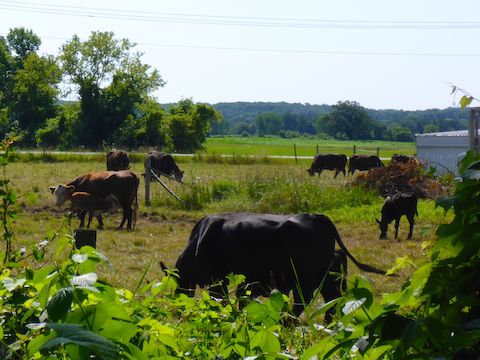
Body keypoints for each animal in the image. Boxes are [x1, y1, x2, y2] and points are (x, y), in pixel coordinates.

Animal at [172, 212, 386, 320]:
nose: (178, 310)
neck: (199, 240)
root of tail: (315, 216)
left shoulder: (218, 279)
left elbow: (219, 300)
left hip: (304, 278)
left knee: (302, 301)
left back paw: (288, 321)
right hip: (323, 278)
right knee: (331, 300)